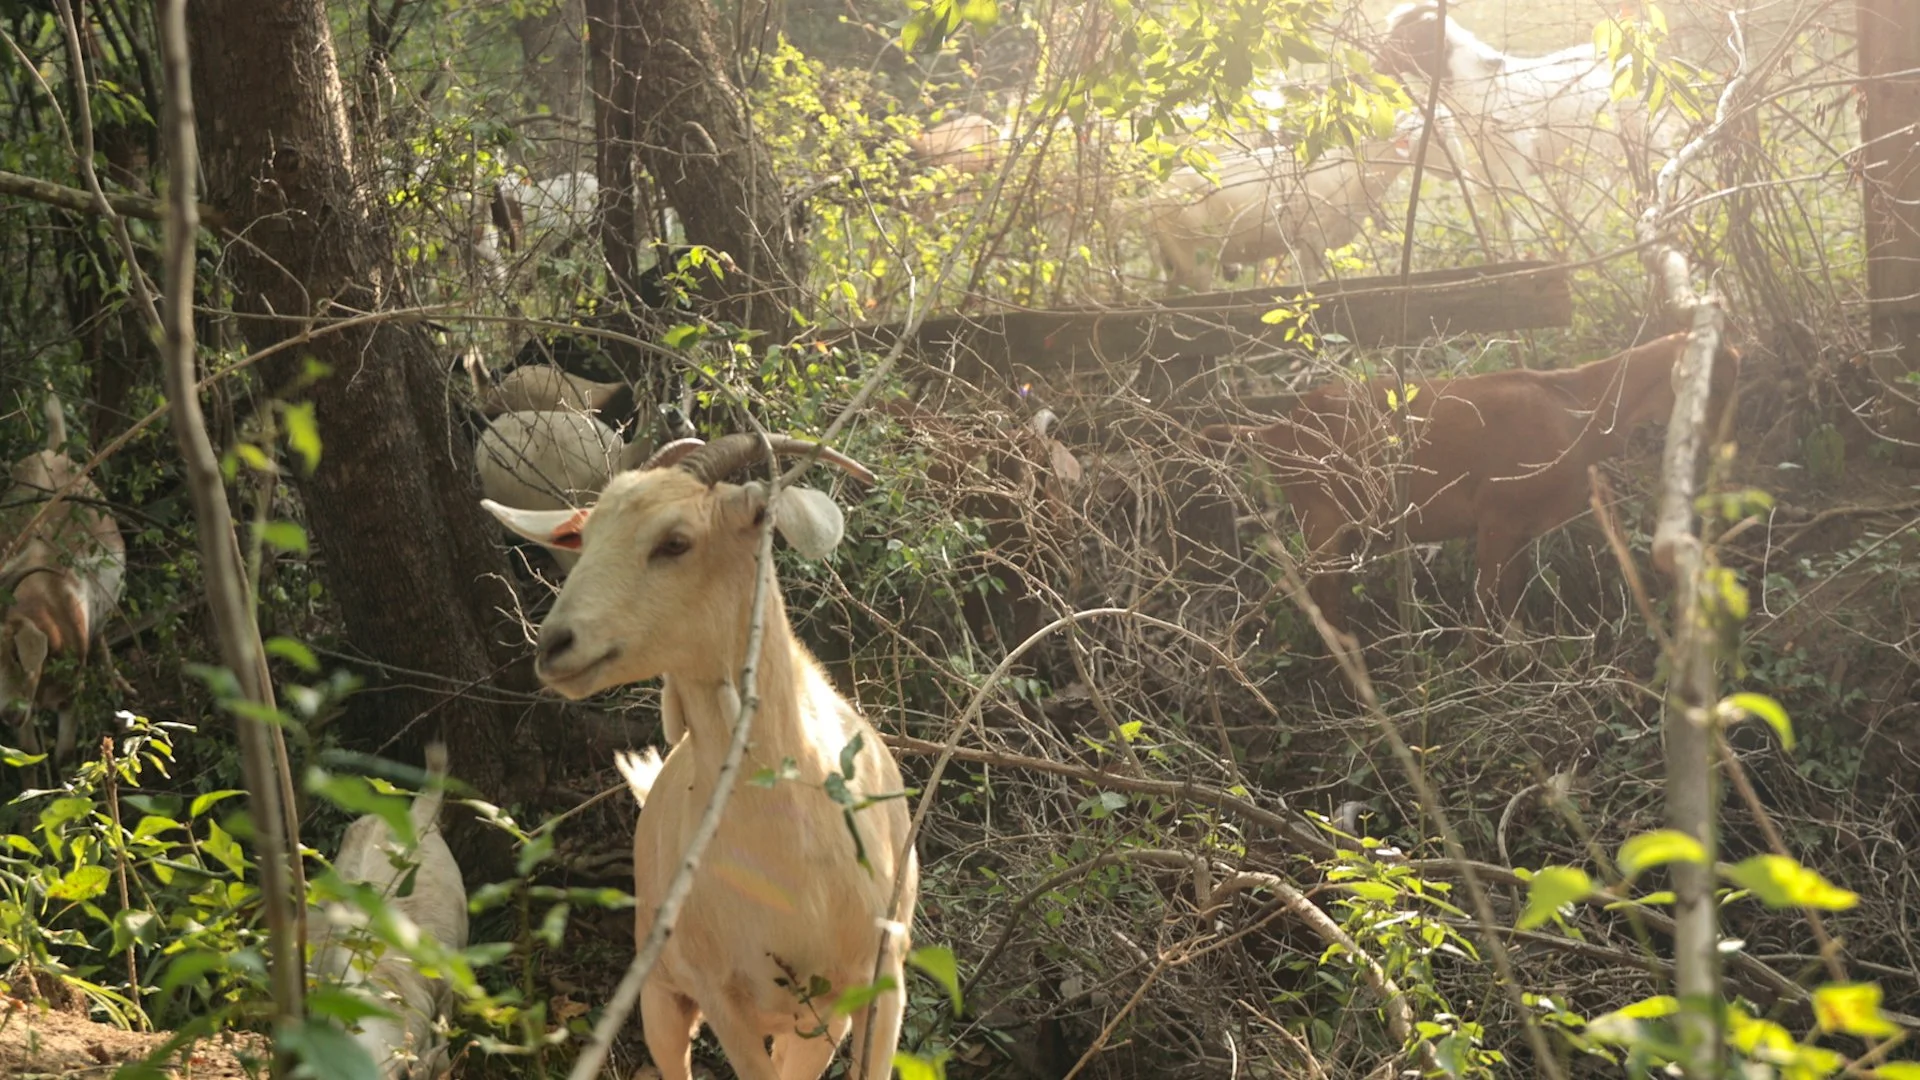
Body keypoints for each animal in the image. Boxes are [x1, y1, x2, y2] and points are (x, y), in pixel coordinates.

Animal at [0, 393, 126, 764]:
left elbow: (66, 755)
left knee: (101, 636)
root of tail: (53, 450)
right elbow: (26, 754)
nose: (9, 714)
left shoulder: (71, 695)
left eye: (17, 655)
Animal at [481, 434, 917, 1080]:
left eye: (675, 542)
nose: (554, 645)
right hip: (662, 994)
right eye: (586, 536)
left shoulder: (882, 978)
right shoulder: (721, 995)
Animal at [1199, 332, 1740, 632]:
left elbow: (1512, 598)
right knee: (1323, 595)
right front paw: (1481, 679)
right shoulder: (1495, 516)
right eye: (1711, 383)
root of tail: (1275, 429)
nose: (1723, 448)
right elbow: (1482, 603)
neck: (1578, 409)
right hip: (1322, 521)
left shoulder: (1523, 527)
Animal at [1379, 2, 1681, 205]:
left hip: (1648, 141)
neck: (1476, 84)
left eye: (1411, 37)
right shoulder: (1482, 177)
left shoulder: (1510, 169)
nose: (1379, 63)